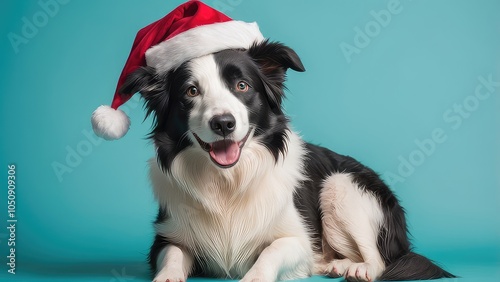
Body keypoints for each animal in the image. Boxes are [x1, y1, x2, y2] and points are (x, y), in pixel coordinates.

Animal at [120, 38, 454, 280]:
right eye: (191, 92)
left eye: (242, 86)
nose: (224, 123)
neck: (228, 181)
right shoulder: (167, 235)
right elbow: (173, 255)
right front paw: (167, 277)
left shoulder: (298, 238)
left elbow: (271, 251)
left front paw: (254, 277)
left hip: (341, 185)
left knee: (379, 260)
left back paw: (355, 268)